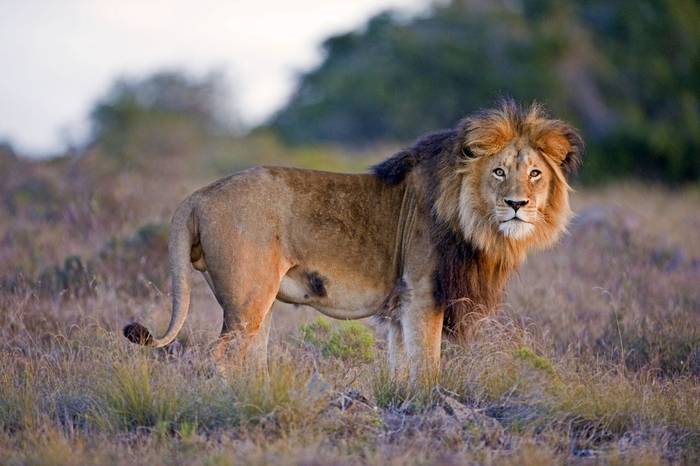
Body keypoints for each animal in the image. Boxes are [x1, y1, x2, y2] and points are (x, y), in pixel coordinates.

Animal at [123, 100, 583, 384]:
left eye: (535, 174)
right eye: (499, 172)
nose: (517, 204)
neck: (475, 222)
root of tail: (200, 193)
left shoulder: (400, 304)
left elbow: (401, 365)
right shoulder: (423, 295)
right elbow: (428, 366)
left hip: (257, 304)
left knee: (251, 359)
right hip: (247, 298)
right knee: (219, 357)